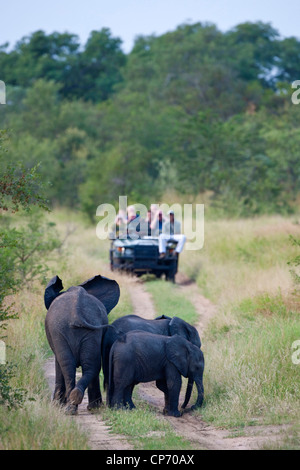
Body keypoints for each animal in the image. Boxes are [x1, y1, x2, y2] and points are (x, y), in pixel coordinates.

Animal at [44, 274, 119, 414]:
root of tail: (76, 312)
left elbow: (58, 364)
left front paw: (56, 405)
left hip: (63, 331)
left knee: (68, 366)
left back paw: (72, 408)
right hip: (89, 330)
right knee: (91, 365)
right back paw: (78, 403)